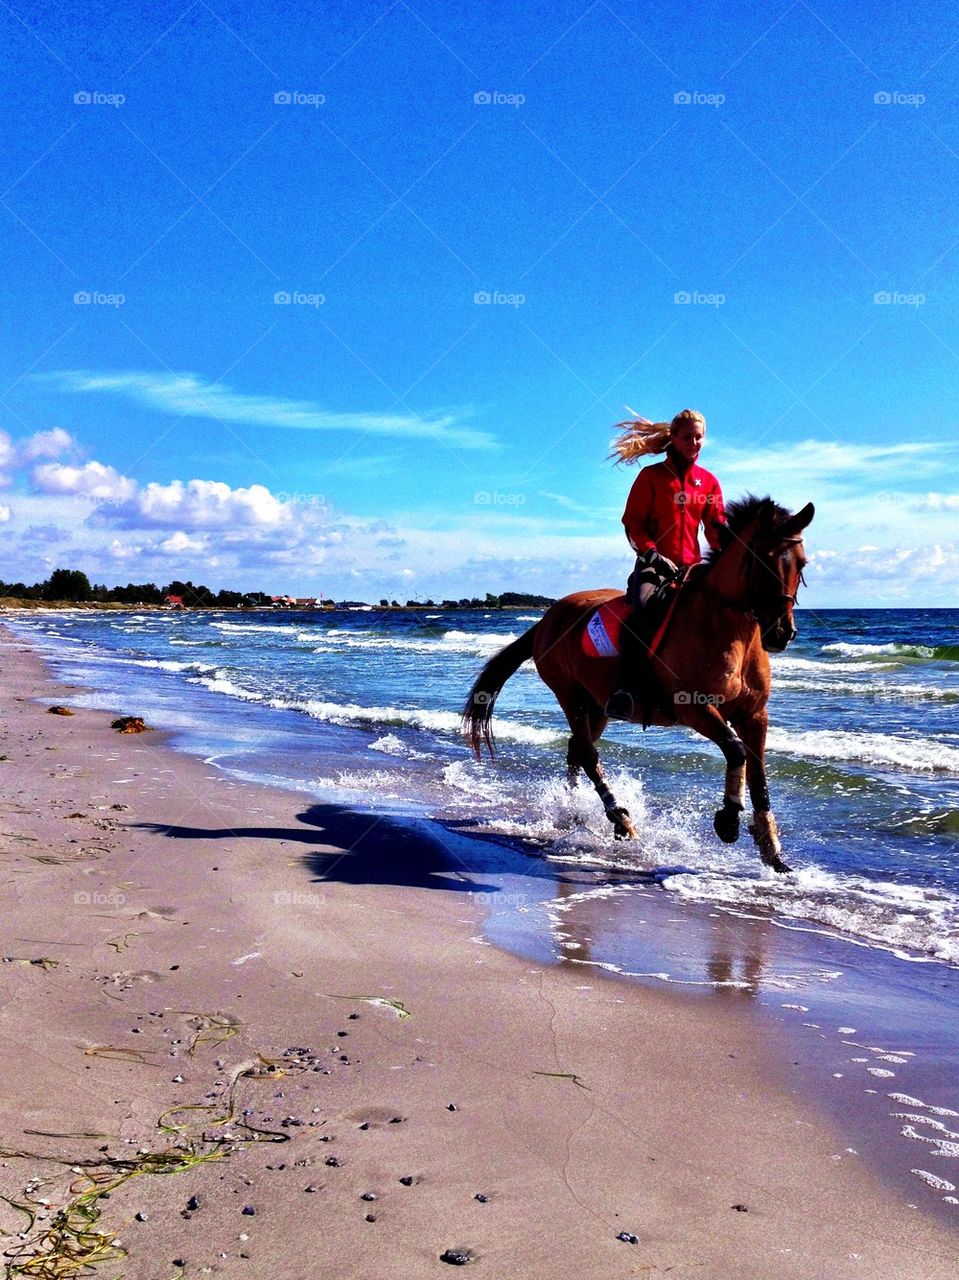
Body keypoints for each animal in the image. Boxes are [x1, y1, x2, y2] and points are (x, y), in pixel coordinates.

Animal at [460, 494, 814, 875]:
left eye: (802, 563)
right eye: (763, 561)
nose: (781, 633)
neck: (729, 629)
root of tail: (546, 619)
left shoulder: (754, 715)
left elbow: (759, 775)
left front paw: (772, 850)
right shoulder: (694, 707)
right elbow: (736, 751)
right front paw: (728, 820)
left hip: (597, 706)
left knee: (576, 749)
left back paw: (573, 812)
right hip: (570, 696)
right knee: (588, 754)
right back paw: (620, 819)